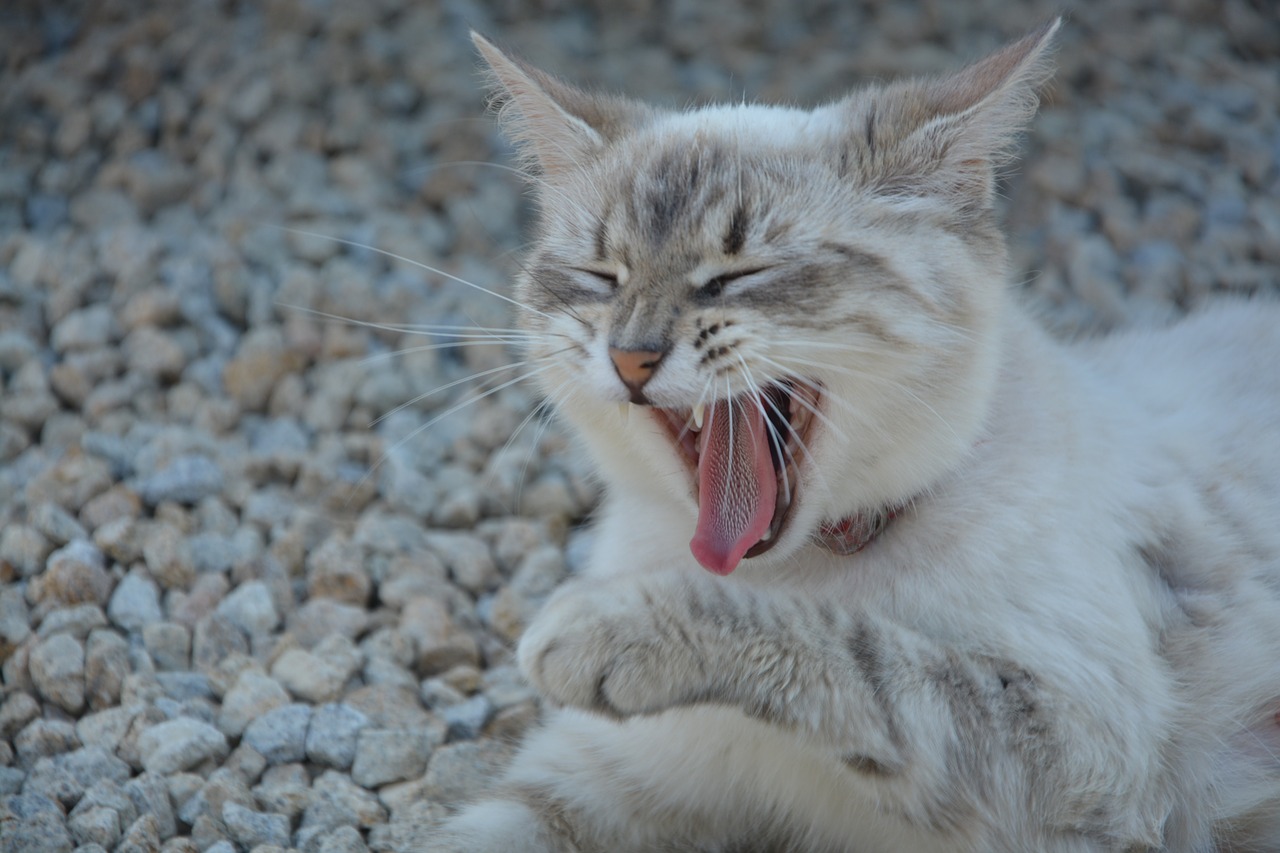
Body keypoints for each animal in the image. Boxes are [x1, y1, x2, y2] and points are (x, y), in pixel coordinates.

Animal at [427, 19, 1280, 850]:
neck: (805, 561)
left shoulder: (1079, 749)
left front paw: (595, 631)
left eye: (739, 274)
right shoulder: (590, 782)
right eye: (601, 277)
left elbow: (859, 648)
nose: (631, 355)